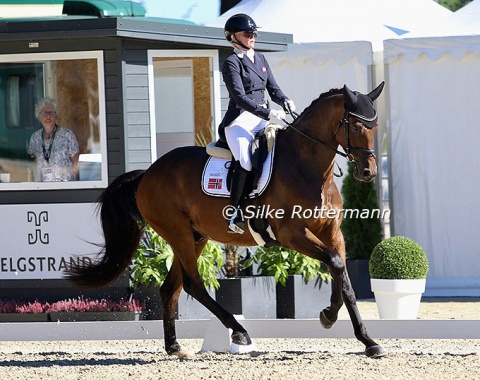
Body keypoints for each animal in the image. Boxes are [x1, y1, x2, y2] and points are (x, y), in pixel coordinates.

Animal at [65, 81, 386, 358]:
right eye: (356, 124)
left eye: (375, 125)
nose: (368, 172)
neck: (307, 166)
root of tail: (147, 174)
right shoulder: (292, 234)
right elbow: (335, 264)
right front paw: (331, 318)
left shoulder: (333, 233)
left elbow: (343, 276)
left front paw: (365, 339)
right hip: (178, 233)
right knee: (193, 284)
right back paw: (239, 331)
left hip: (195, 236)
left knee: (171, 288)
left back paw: (175, 347)